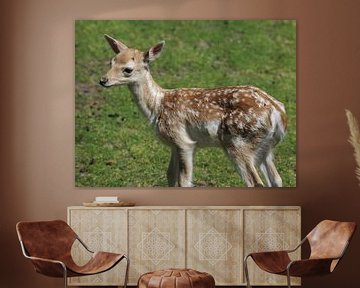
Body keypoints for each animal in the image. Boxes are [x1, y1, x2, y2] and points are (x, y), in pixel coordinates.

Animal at [99, 35, 286, 188]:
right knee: (276, 179)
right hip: (265, 147)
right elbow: (170, 176)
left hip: (238, 142)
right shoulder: (174, 145)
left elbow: (184, 181)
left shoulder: (183, 141)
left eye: (128, 69)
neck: (158, 105)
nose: (103, 80)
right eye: (111, 62)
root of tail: (278, 113)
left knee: (256, 182)